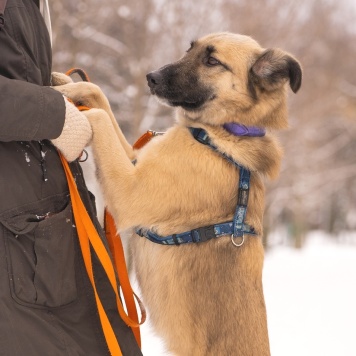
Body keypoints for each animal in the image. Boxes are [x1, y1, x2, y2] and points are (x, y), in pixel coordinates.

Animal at [54, 32, 302, 356]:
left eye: (212, 61)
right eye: (189, 49)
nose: (151, 77)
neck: (220, 136)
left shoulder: (129, 189)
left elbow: (99, 118)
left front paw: (70, 116)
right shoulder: (135, 159)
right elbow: (99, 97)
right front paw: (66, 83)